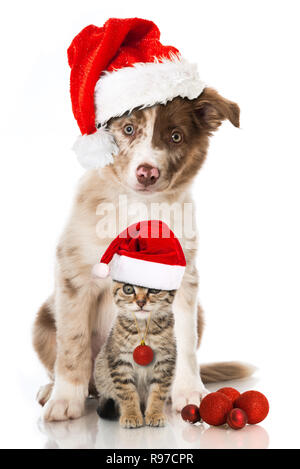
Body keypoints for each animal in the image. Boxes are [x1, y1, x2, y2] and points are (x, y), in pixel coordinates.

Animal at [94, 280, 176, 426]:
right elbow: (126, 392)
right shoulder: (120, 362)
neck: (143, 329)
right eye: (128, 289)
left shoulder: (165, 362)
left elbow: (159, 391)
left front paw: (155, 413)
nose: (141, 302)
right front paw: (130, 415)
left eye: (155, 290)